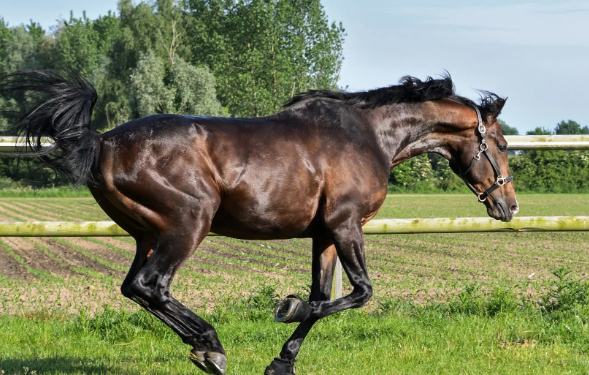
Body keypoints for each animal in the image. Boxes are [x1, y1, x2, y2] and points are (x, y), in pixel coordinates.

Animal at [0, 71, 516, 375]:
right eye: (503, 143)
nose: (508, 205)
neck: (369, 136)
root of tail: (102, 141)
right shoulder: (347, 225)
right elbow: (359, 293)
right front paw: (286, 307)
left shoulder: (325, 234)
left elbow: (322, 297)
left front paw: (282, 362)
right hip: (187, 224)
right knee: (152, 286)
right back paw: (211, 347)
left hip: (147, 233)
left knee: (135, 288)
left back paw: (204, 346)